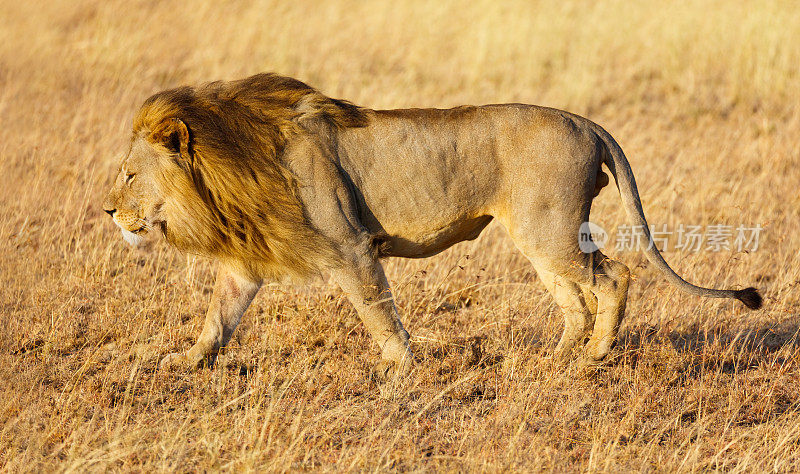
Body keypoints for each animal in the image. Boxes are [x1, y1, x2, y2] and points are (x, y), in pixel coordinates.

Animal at [101, 73, 764, 378]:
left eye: (129, 175)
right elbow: (218, 320)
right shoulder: (244, 265)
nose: (107, 211)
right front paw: (182, 362)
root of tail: (585, 121)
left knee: (615, 277)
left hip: (549, 230)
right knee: (575, 299)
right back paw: (549, 359)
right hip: (538, 235)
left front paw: (402, 372)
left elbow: (378, 312)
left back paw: (592, 358)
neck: (229, 166)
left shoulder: (350, 248)